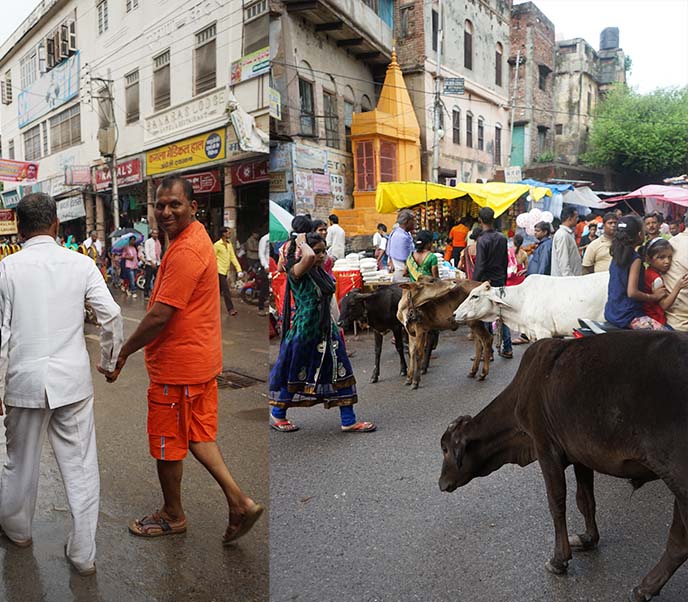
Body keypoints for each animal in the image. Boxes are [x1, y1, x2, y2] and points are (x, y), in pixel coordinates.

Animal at [438, 330, 688, 596]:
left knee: (681, 540)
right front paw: (588, 538)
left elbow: (556, 504)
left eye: (445, 448)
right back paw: (647, 587)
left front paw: (559, 559)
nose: (441, 483)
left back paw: (645, 587)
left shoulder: (546, 449)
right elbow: (585, 501)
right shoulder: (581, 456)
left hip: (679, 480)